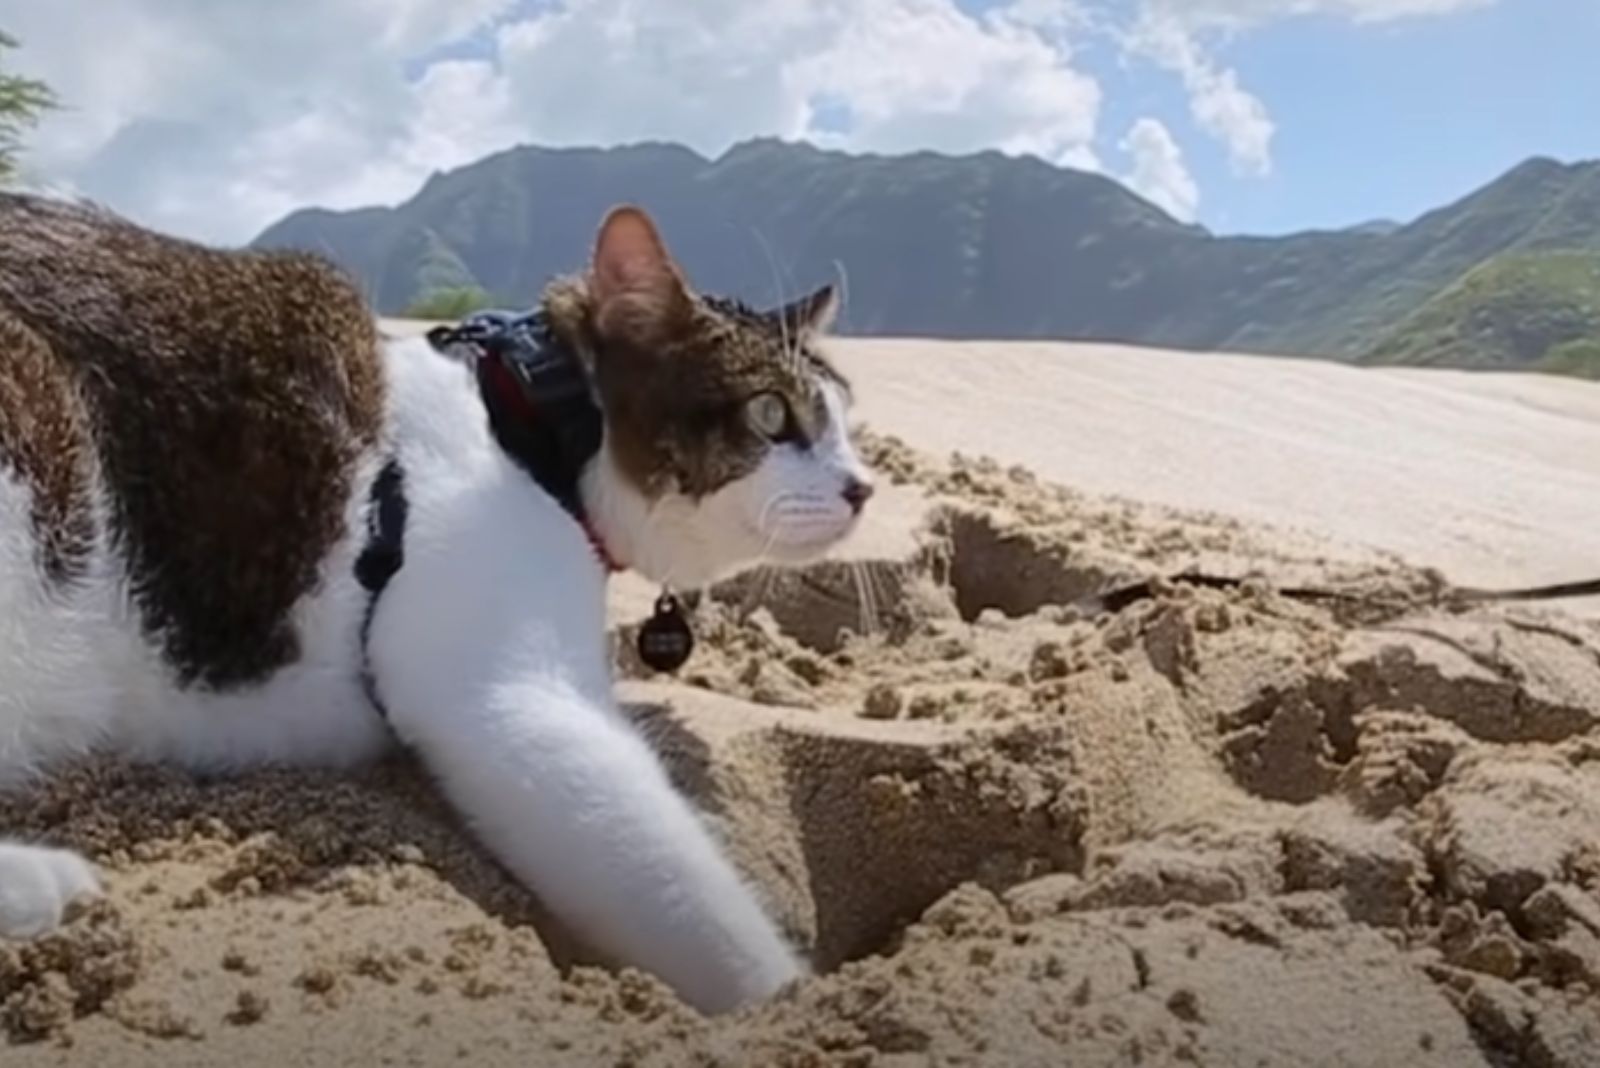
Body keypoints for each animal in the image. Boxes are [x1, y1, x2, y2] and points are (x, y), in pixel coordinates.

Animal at [0, 191, 876, 1016]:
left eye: (846, 423)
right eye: (771, 412)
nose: (862, 487)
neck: (534, 425)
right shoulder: (506, 696)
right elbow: (688, 897)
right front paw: (793, 1007)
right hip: (36, 429)